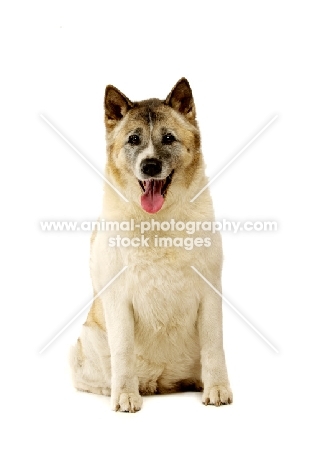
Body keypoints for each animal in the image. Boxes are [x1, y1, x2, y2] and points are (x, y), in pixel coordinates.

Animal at [69, 78, 233, 412]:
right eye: (134, 139)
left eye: (168, 138)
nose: (150, 165)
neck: (158, 221)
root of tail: (162, 381)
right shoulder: (118, 300)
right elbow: (123, 352)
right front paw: (125, 394)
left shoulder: (210, 292)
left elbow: (214, 347)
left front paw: (217, 388)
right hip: (88, 337)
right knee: (93, 376)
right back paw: (122, 387)